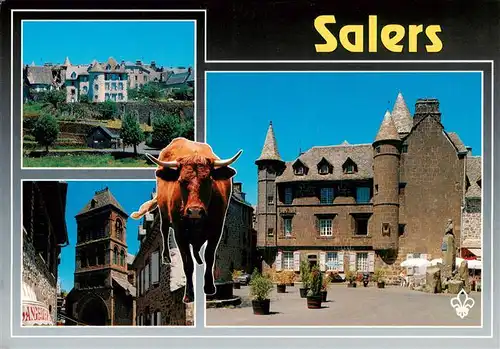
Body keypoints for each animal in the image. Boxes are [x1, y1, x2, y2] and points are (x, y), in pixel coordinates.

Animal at [131, 137, 242, 304]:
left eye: (208, 180)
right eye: (181, 181)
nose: (195, 211)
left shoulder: (217, 229)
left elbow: (210, 256)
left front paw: (209, 287)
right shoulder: (179, 233)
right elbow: (187, 263)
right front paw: (189, 294)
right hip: (164, 213)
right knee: (164, 230)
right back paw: (166, 257)